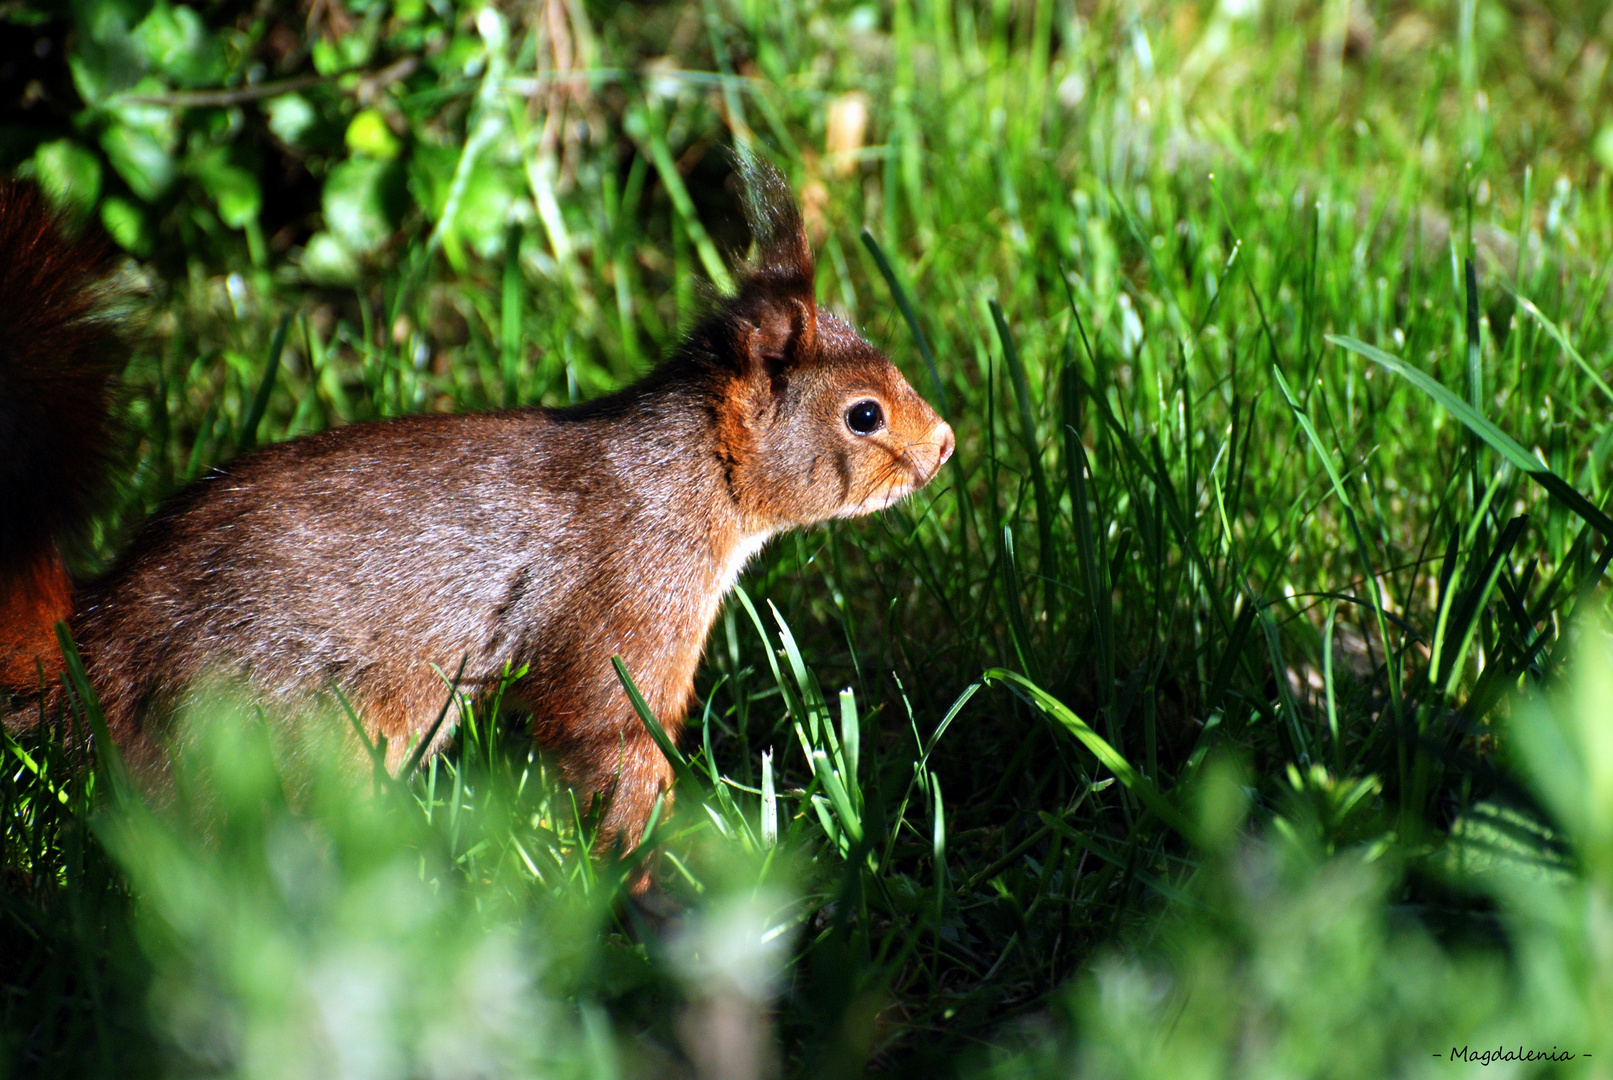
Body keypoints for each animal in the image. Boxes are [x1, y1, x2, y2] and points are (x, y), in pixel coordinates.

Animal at [0, 162, 948, 857]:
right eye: (863, 415)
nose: (943, 446)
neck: (683, 477)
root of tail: (100, 642)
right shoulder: (628, 601)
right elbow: (608, 732)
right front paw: (648, 859)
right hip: (294, 719)